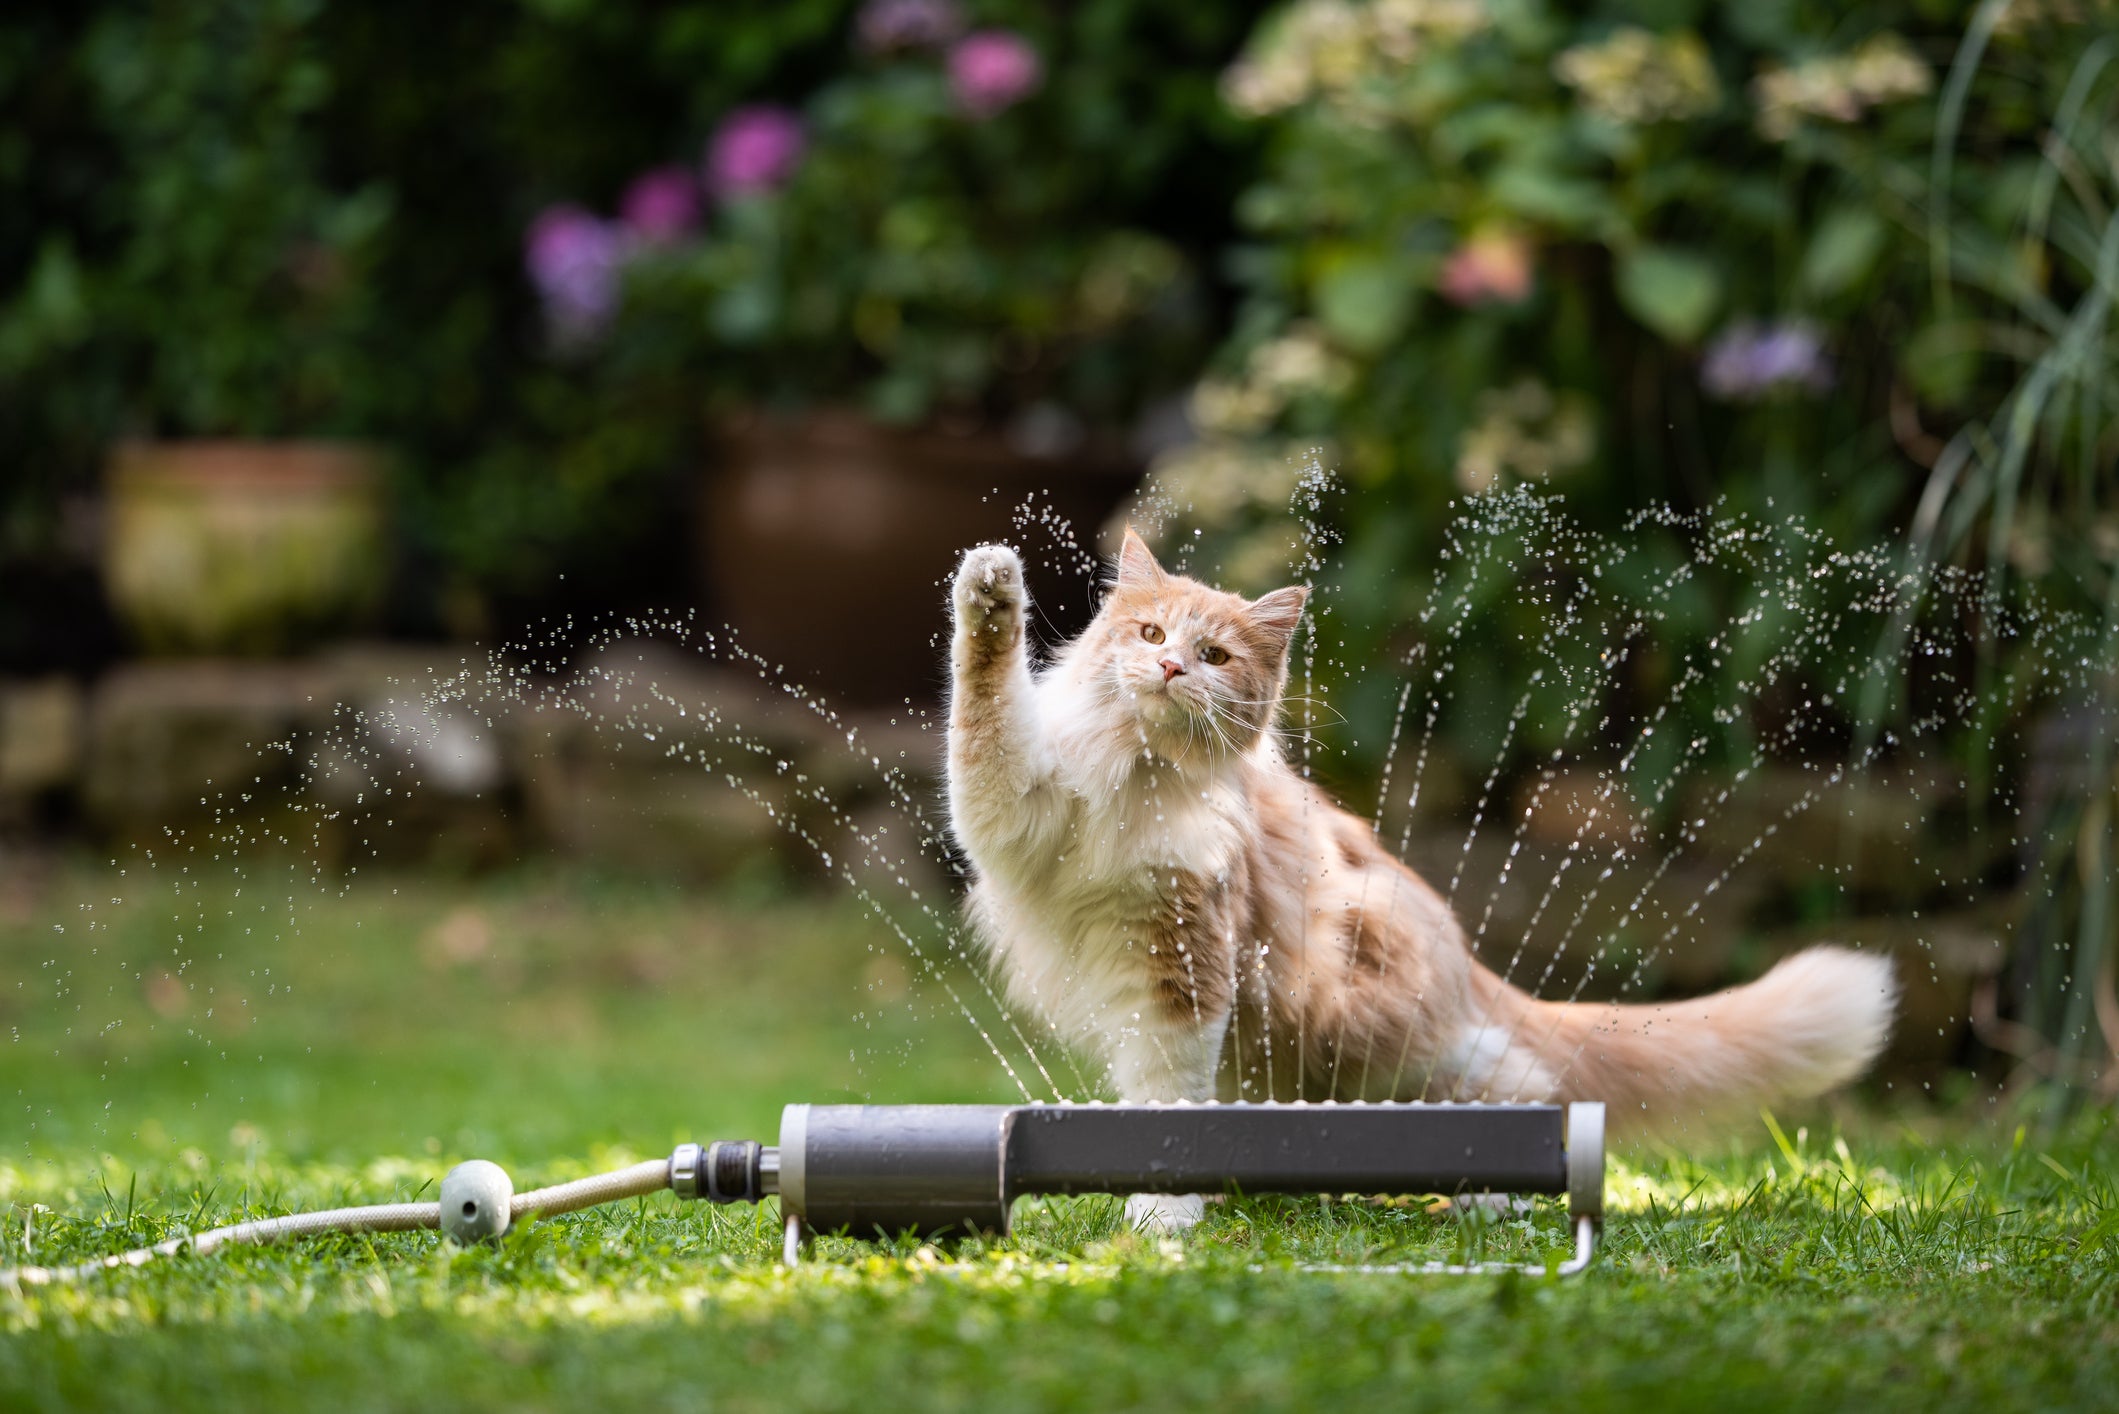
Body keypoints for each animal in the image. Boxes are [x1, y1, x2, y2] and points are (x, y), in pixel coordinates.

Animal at [949, 529, 1907, 1229]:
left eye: (1213, 655)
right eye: (1148, 635)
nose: (1171, 668)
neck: (1138, 775)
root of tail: (1463, 959)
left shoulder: (1184, 965)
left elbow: (1168, 1099)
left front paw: (1163, 1214)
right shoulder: (1012, 811)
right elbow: (981, 708)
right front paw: (990, 593)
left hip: (1375, 1038)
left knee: (1523, 1081)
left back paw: (1497, 1195)